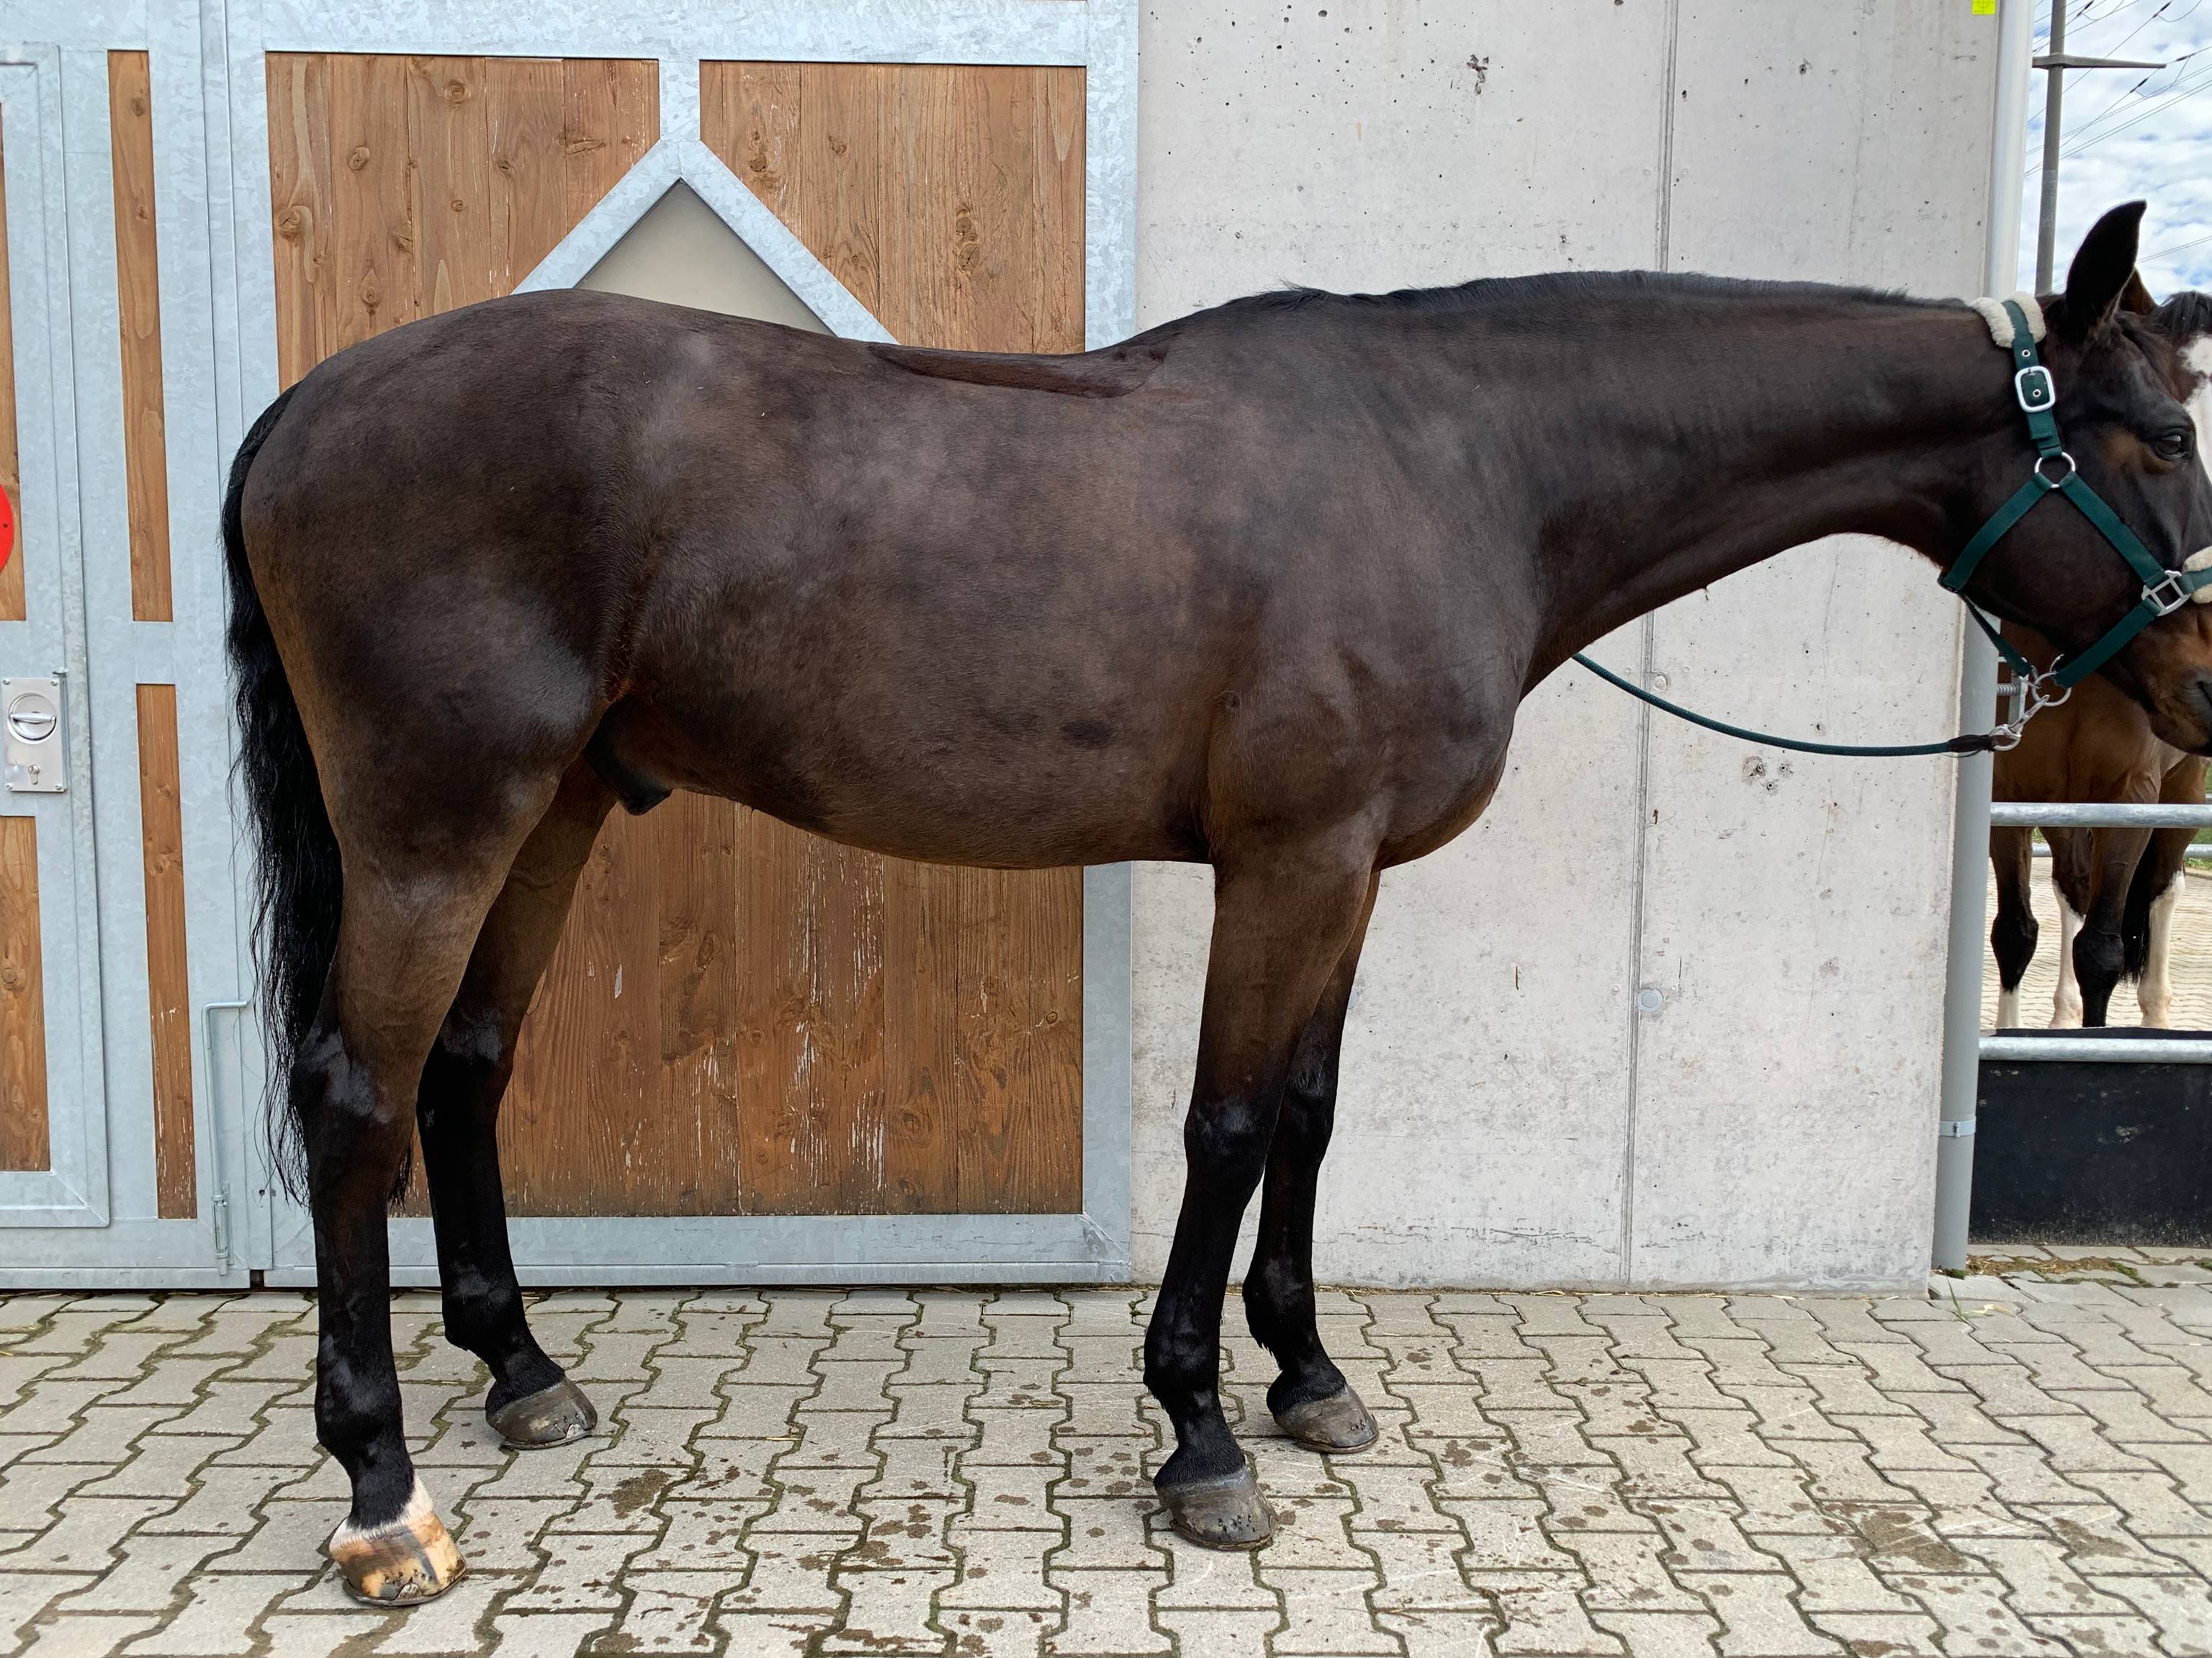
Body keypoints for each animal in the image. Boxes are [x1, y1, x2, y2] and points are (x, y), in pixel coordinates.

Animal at [223, 200, 2212, 1599]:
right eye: (2139, 435)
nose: (2200, 687)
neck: (1456, 464)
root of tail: (309, 403)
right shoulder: (1290, 859)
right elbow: (1231, 1122)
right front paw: (1197, 1436)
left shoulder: (1349, 874)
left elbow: (1312, 1115)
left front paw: (1305, 1378)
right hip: (436, 821)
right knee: (356, 1097)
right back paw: (380, 1495)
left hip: (556, 804)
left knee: (469, 1065)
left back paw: (519, 1369)